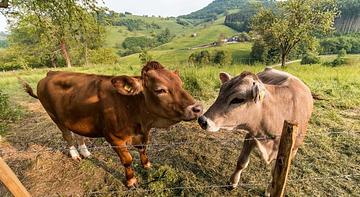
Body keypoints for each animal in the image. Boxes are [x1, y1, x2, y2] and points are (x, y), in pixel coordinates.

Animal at [22, 61, 202, 186]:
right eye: (160, 90)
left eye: (181, 84)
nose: (198, 108)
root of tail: (50, 73)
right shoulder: (114, 138)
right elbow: (127, 160)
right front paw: (131, 181)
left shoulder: (143, 133)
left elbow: (143, 149)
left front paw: (146, 165)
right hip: (54, 116)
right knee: (67, 135)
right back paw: (75, 155)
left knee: (78, 134)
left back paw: (85, 152)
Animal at [198, 67, 314, 195]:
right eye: (220, 92)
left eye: (238, 99)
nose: (202, 120)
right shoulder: (251, 136)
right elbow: (242, 162)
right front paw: (232, 183)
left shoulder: (292, 151)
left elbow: (275, 174)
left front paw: (269, 191)